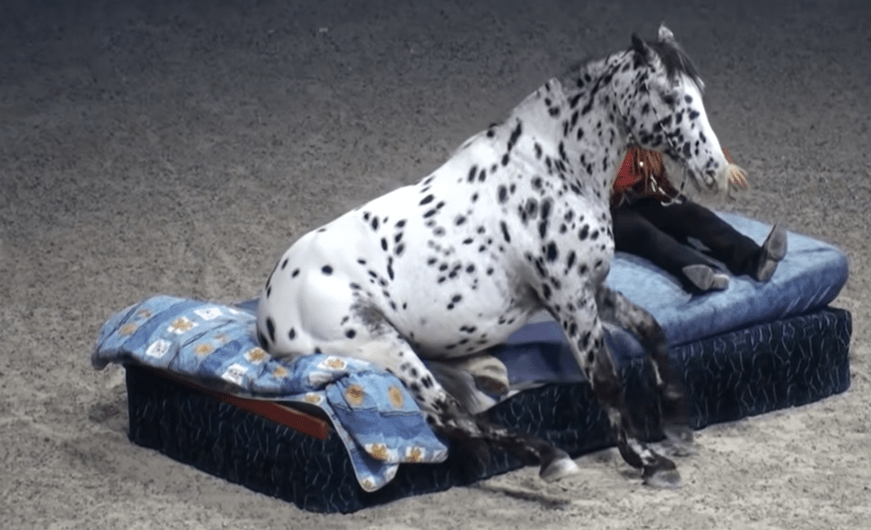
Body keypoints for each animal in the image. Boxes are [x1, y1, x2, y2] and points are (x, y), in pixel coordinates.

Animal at [258, 24, 736, 486]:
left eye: (700, 89)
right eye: (669, 95)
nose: (714, 170)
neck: (550, 171)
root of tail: (268, 317)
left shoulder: (589, 290)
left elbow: (652, 331)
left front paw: (677, 426)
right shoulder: (569, 300)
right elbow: (606, 381)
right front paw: (648, 461)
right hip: (382, 343)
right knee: (448, 414)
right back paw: (551, 458)